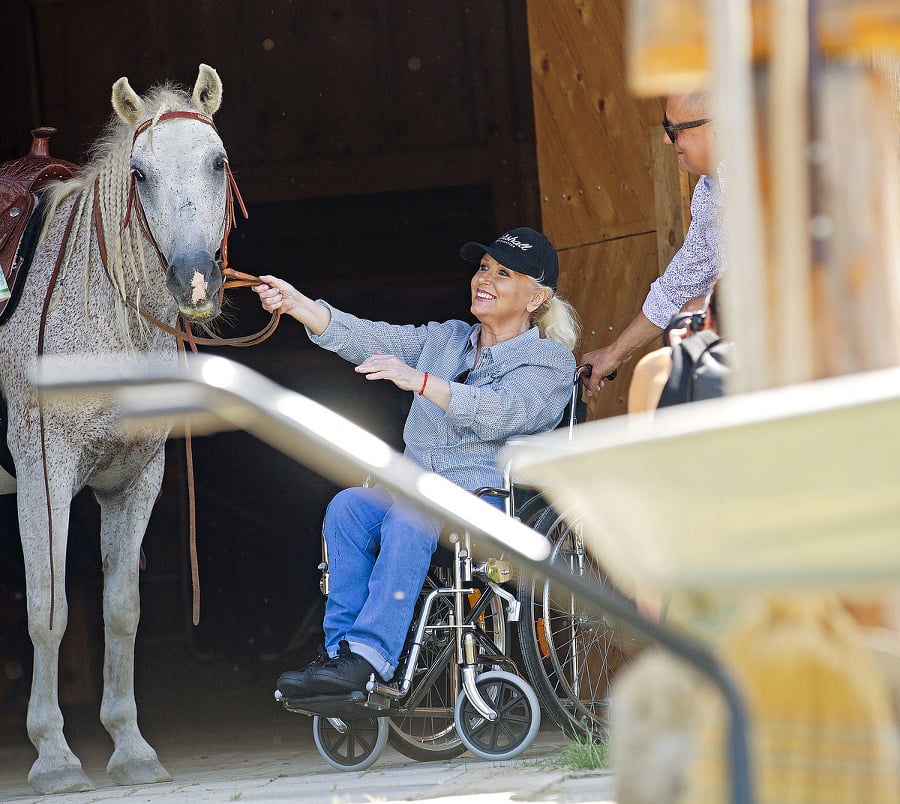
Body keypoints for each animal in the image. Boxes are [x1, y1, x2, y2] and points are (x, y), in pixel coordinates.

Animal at [0, 66, 236, 796]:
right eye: (140, 173)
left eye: (218, 162)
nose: (194, 280)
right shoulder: (43, 475)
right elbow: (47, 611)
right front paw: (53, 757)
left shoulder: (135, 480)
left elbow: (120, 609)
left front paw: (131, 747)